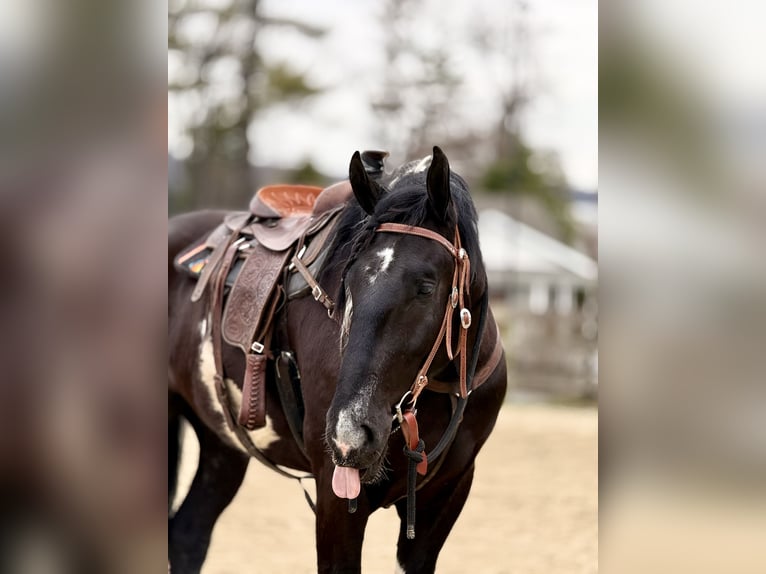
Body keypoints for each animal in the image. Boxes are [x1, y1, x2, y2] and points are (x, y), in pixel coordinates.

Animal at [168, 147, 507, 573]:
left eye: (426, 287)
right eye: (349, 281)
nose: (350, 433)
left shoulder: (448, 496)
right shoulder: (335, 496)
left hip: (222, 446)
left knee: (188, 533)